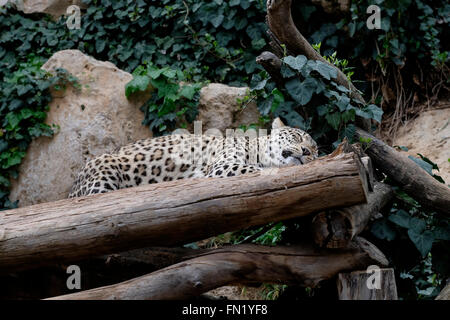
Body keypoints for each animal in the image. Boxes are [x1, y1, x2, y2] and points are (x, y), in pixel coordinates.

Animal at [68, 117, 318, 198]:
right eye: (297, 137)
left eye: (316, 151)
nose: (307, 152)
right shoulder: (222, 165)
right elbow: (256, 170)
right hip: (104, 169)